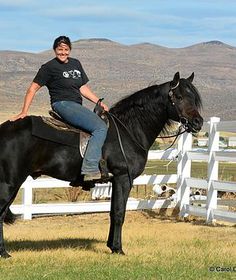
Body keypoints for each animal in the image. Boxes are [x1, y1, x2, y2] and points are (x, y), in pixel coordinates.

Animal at [0, 72, 203, 258]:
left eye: (193, 98)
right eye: (178, 97)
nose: (198, 122)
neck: (129, 130)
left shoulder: (115, 181)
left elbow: (113, 213)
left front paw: (111, 246)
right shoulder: (123, 178)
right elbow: (119, 213)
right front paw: (118, 249)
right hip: (9, 183)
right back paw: (3, 253)